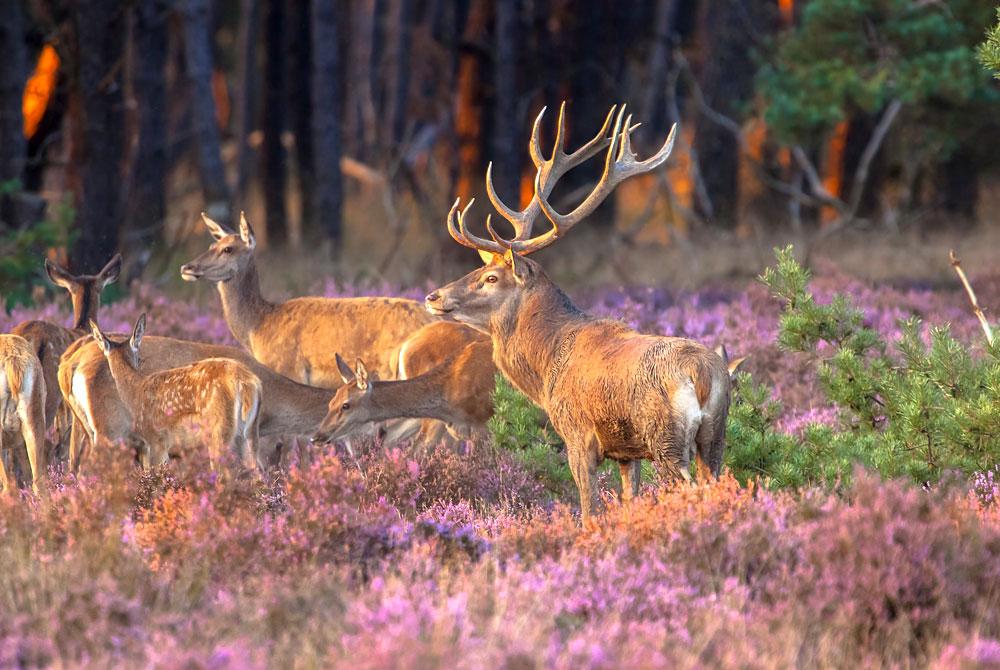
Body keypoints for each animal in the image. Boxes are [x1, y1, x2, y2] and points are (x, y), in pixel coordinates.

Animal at [89, 316, 262, 470]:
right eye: (138, 357)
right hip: (250, 431)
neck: (136, 392)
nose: (141, 361)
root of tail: (245, 382)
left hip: (219, 431)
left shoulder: (156, 439)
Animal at [426, 105, 732, 524]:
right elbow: (629, 498)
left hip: (666, 437)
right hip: (716, 434)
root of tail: (701, 373)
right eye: (481, 268)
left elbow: (588, 510)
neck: (546, 365)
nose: (434, 296)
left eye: (491, 277)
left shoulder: (577, 434)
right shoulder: (627, 451)